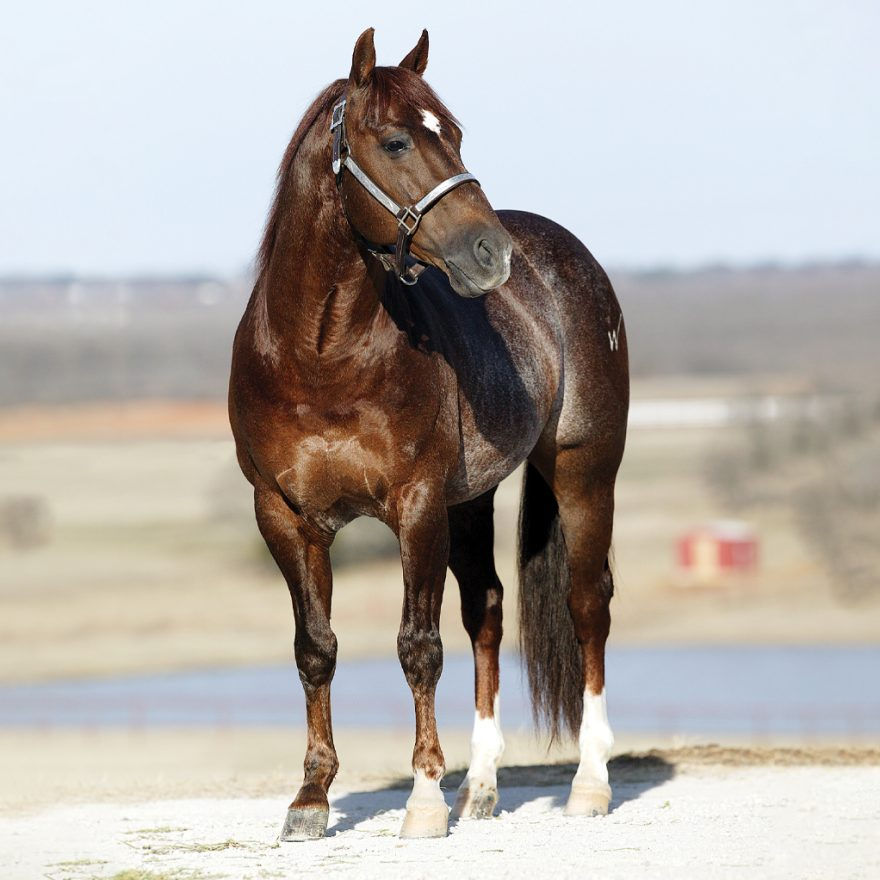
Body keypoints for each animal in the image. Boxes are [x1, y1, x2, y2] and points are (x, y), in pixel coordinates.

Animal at [228, 27, 629, 840]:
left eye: (457, 134)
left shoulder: (413, 507)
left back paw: (589, 784)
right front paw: (310, 801)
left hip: (583, 471)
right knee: (489, 612)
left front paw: (421, 799)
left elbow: (418, 647)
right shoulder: (284, 515)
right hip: (469, 501)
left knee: (587, 605)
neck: (319, 356)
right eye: (396, 141)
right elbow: (315, 648)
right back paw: (480, 789)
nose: (490, 254)